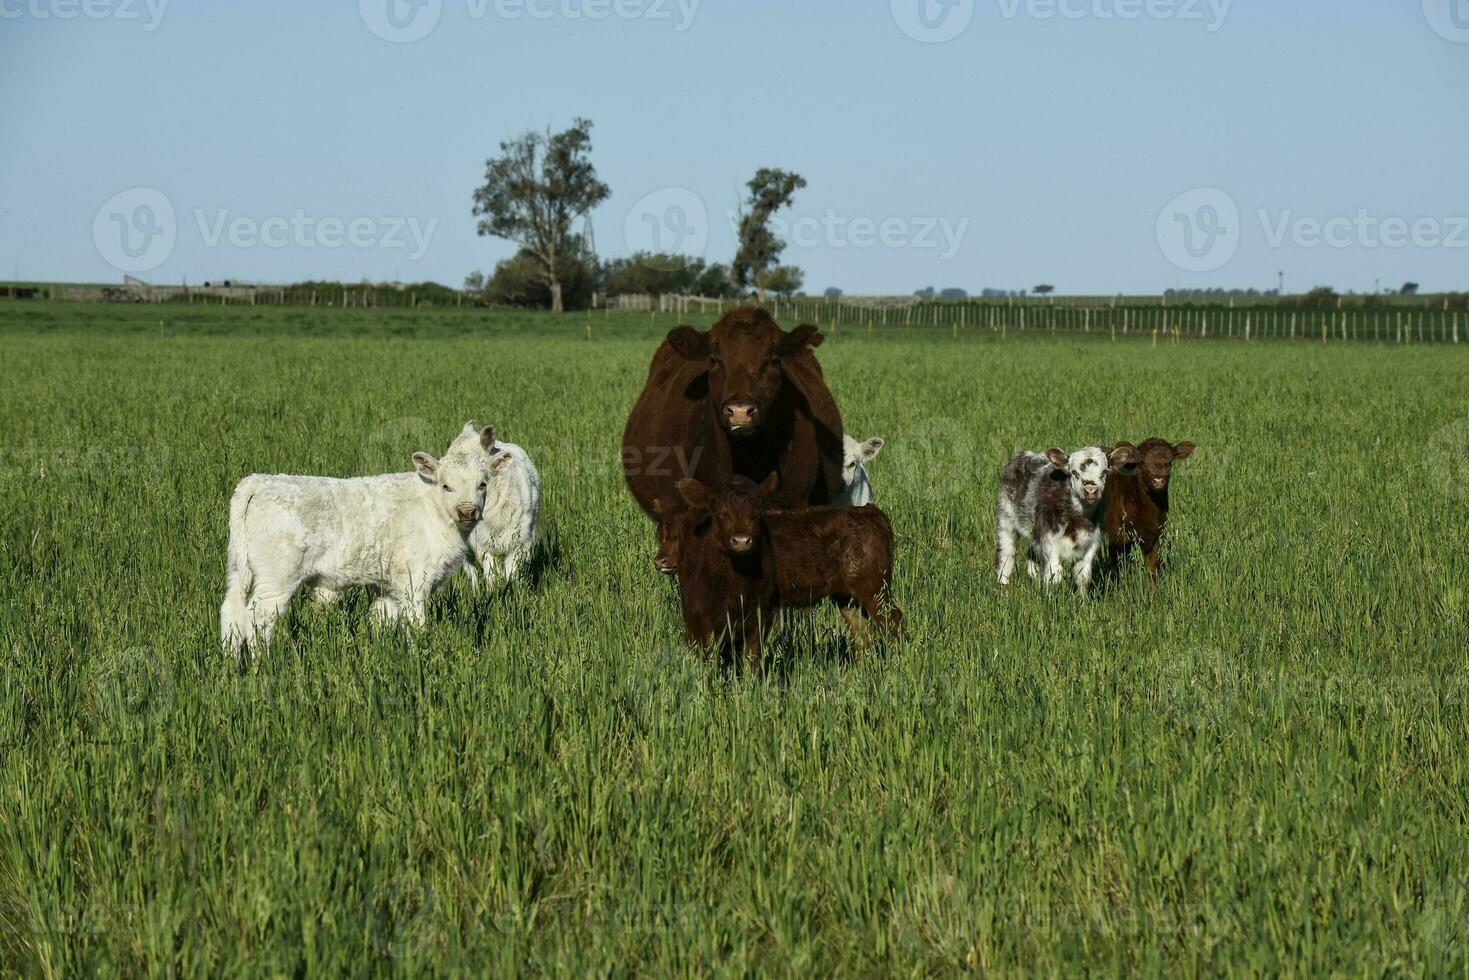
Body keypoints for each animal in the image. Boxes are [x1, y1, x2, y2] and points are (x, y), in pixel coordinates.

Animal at [217, 420, 493, 655]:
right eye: (446, 486)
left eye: (482, 484)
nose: (467, 511)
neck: (434, 508)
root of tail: (259, 481)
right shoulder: (414, 581)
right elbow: (416, 626)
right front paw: (419, 657)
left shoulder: (387, 585)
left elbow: (382, 620)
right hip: (276, 579)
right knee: (258, 619)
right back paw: (263, 664)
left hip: (239, 569)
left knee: (232, 612)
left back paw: (232, 663)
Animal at [464, 437, 540, 590]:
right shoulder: (483, 545)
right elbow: (491, 574)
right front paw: (493, 592)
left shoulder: (521, 542)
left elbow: (512, 574)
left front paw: (514, 592)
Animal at [998, 446, 1134, 599]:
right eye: (1074, 472)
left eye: (1104, 471)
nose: (1091, 490)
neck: (1077, 520)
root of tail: (1026, 454)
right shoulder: (1049, 540)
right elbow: (1054, 575)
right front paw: (1052, 601)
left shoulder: (1091, 543)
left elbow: (1083, 576)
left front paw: (1082, 602)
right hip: (1006, 522)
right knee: (1006, 559)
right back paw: (1003, 591)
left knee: (1032, 561)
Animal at [1104, 437, 1192, 581]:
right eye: (1142, 461)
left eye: (1170, 462)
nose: (1159, 479)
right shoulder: (1118, 535)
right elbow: (1122, 568)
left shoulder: (1155, 535)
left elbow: (1152, 569)